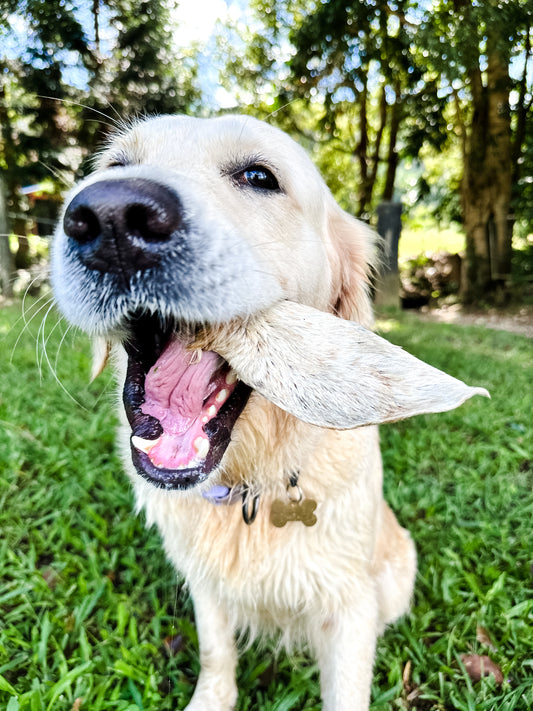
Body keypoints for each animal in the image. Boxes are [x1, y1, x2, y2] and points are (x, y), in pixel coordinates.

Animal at [51, 114, 486, 708]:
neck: (248, 487)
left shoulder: (349, 604)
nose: (110, 216)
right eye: (116, 165)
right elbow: (217, 654)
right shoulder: (206, 586)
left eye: (259, 175)